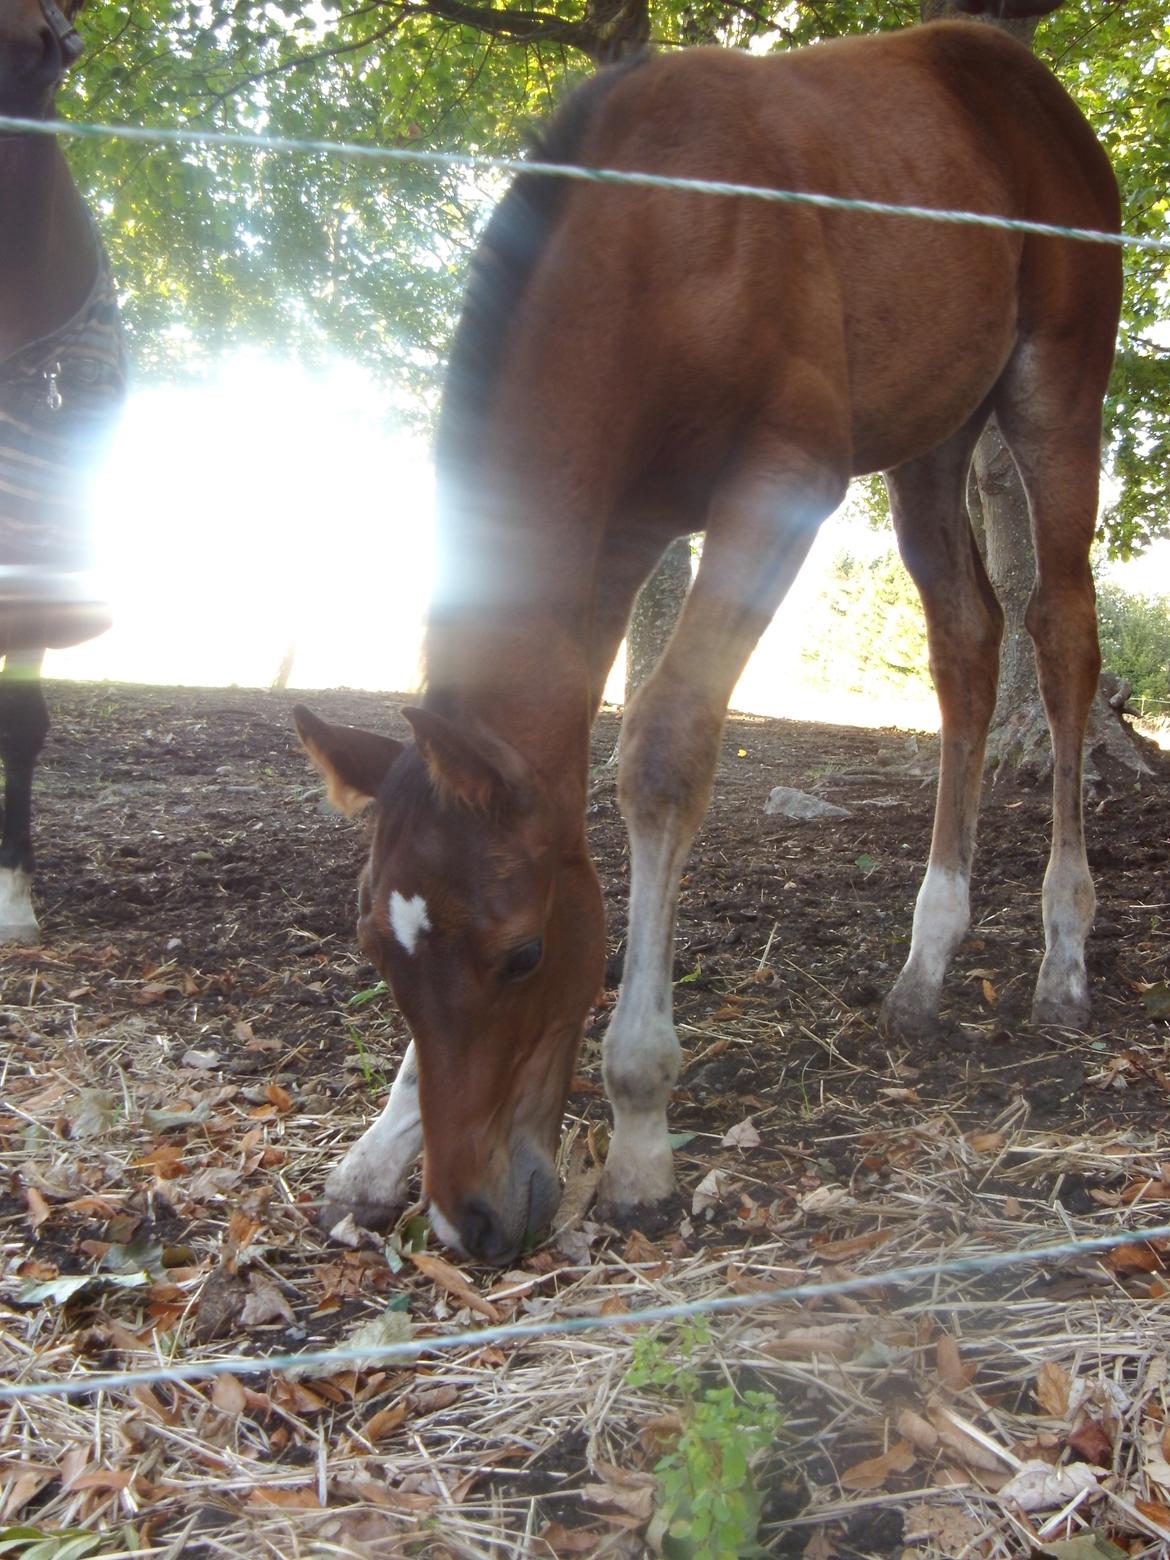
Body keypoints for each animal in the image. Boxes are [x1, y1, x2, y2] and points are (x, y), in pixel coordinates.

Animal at [297, 3, 1123, 1266]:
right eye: (377, 956)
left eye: (523, 954)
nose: (472, 1219)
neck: (658, 235)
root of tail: (1020, 74)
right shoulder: (622, 530)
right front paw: (381, 1148)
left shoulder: (780, 483)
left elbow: (661, 751)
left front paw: (640, 1133)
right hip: (931, 429)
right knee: (966, 642)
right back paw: (926, 964)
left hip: (1056, 388)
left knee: (1063, 633)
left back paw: (1063, 958)